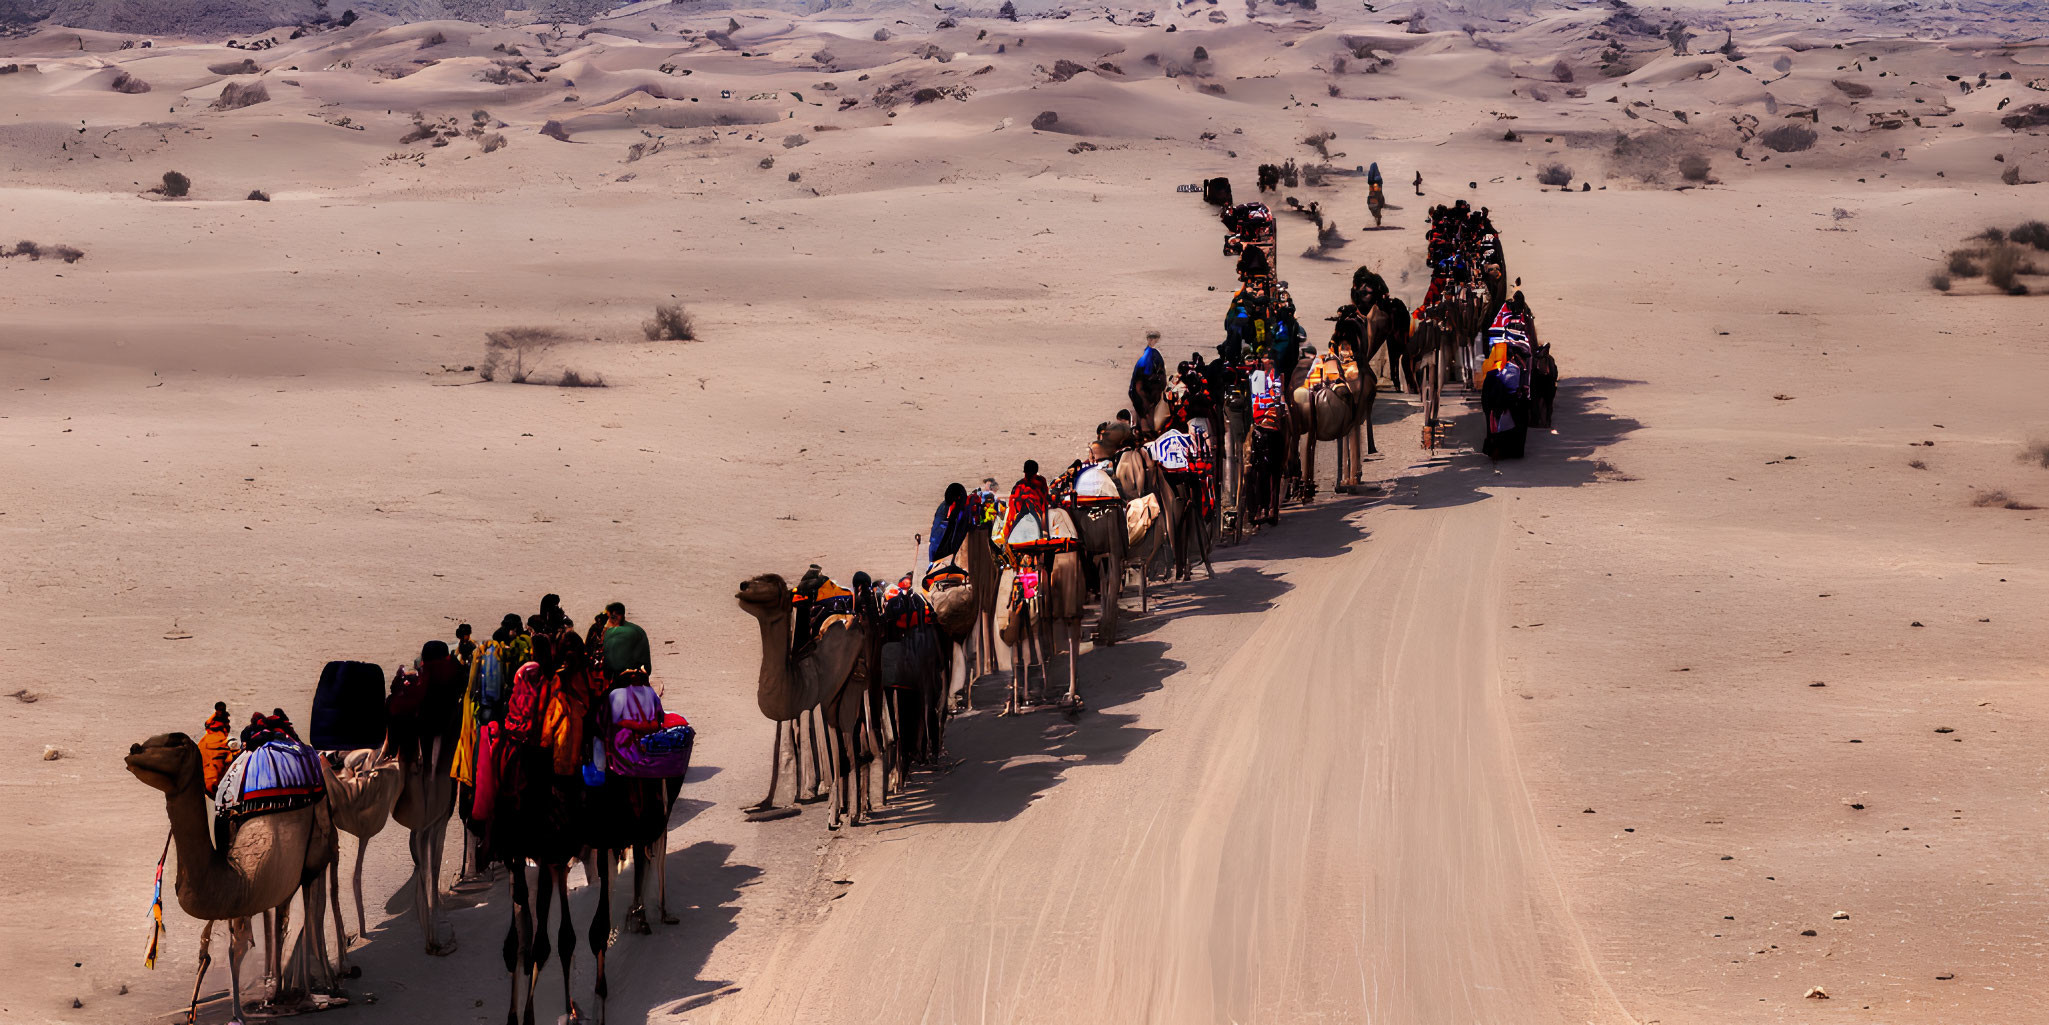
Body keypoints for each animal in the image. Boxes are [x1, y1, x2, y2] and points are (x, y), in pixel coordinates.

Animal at [124, 733, 331, 1020]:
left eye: (174, 742)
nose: (134, 750)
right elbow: (219, 948)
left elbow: (240, 948)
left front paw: (241, 1014)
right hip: (285, 877)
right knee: (281, 916)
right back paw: (276, 993)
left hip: (318, 848)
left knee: (312, 912)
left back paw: (318, 989)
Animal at [741, 574, 876, 828]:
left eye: (769, 583)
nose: (743, 586)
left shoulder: (831, 699)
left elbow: (841, 754)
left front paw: (838, 814)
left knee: (856, 747)